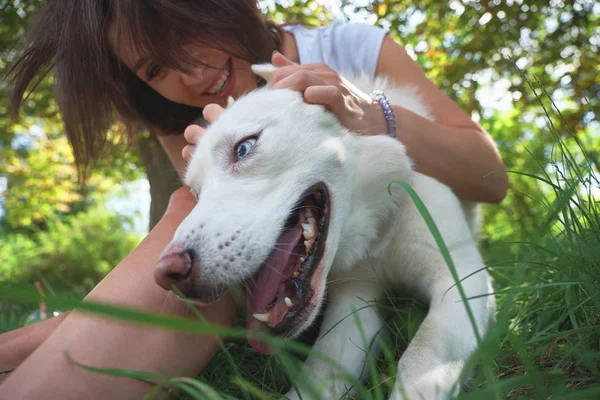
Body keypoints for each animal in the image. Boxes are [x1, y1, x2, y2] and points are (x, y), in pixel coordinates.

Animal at [156, 64, 496, 398]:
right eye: (196, 194)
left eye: (243, 148)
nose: (167, 274)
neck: (375, 231)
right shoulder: (355, 303)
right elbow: (317, 378)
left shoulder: (460, 275)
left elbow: (420, 359)